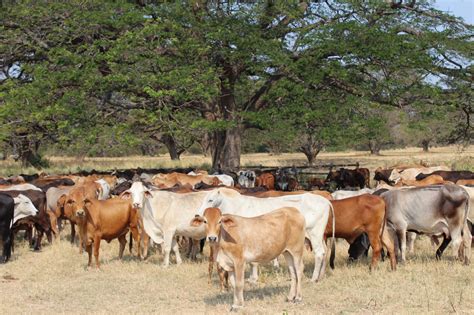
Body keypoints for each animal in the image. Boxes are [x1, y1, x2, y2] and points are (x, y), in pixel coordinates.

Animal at [194, 188, 336, 284]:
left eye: (210, 200)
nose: (197, 214)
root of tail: (325, 200)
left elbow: (253, 262)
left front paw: (253, 279)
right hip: (319, 236)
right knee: (325, 251)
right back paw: (321, 276)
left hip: (314, 234)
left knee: (319, 253)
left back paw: (313, 278)